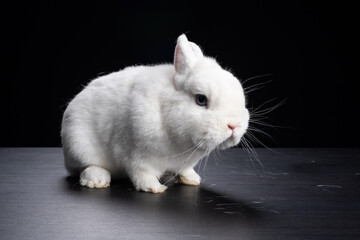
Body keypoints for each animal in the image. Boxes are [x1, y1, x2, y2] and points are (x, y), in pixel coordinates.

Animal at [60, 34, 249, 193]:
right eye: (201, 99)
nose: (234, 125)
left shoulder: (185, 163)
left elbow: (186, 171)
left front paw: (193, 180)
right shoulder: (135, 155)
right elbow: (142, 174)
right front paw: (154, 188)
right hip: (79, 146)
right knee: (86, 167)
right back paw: (97, 180)